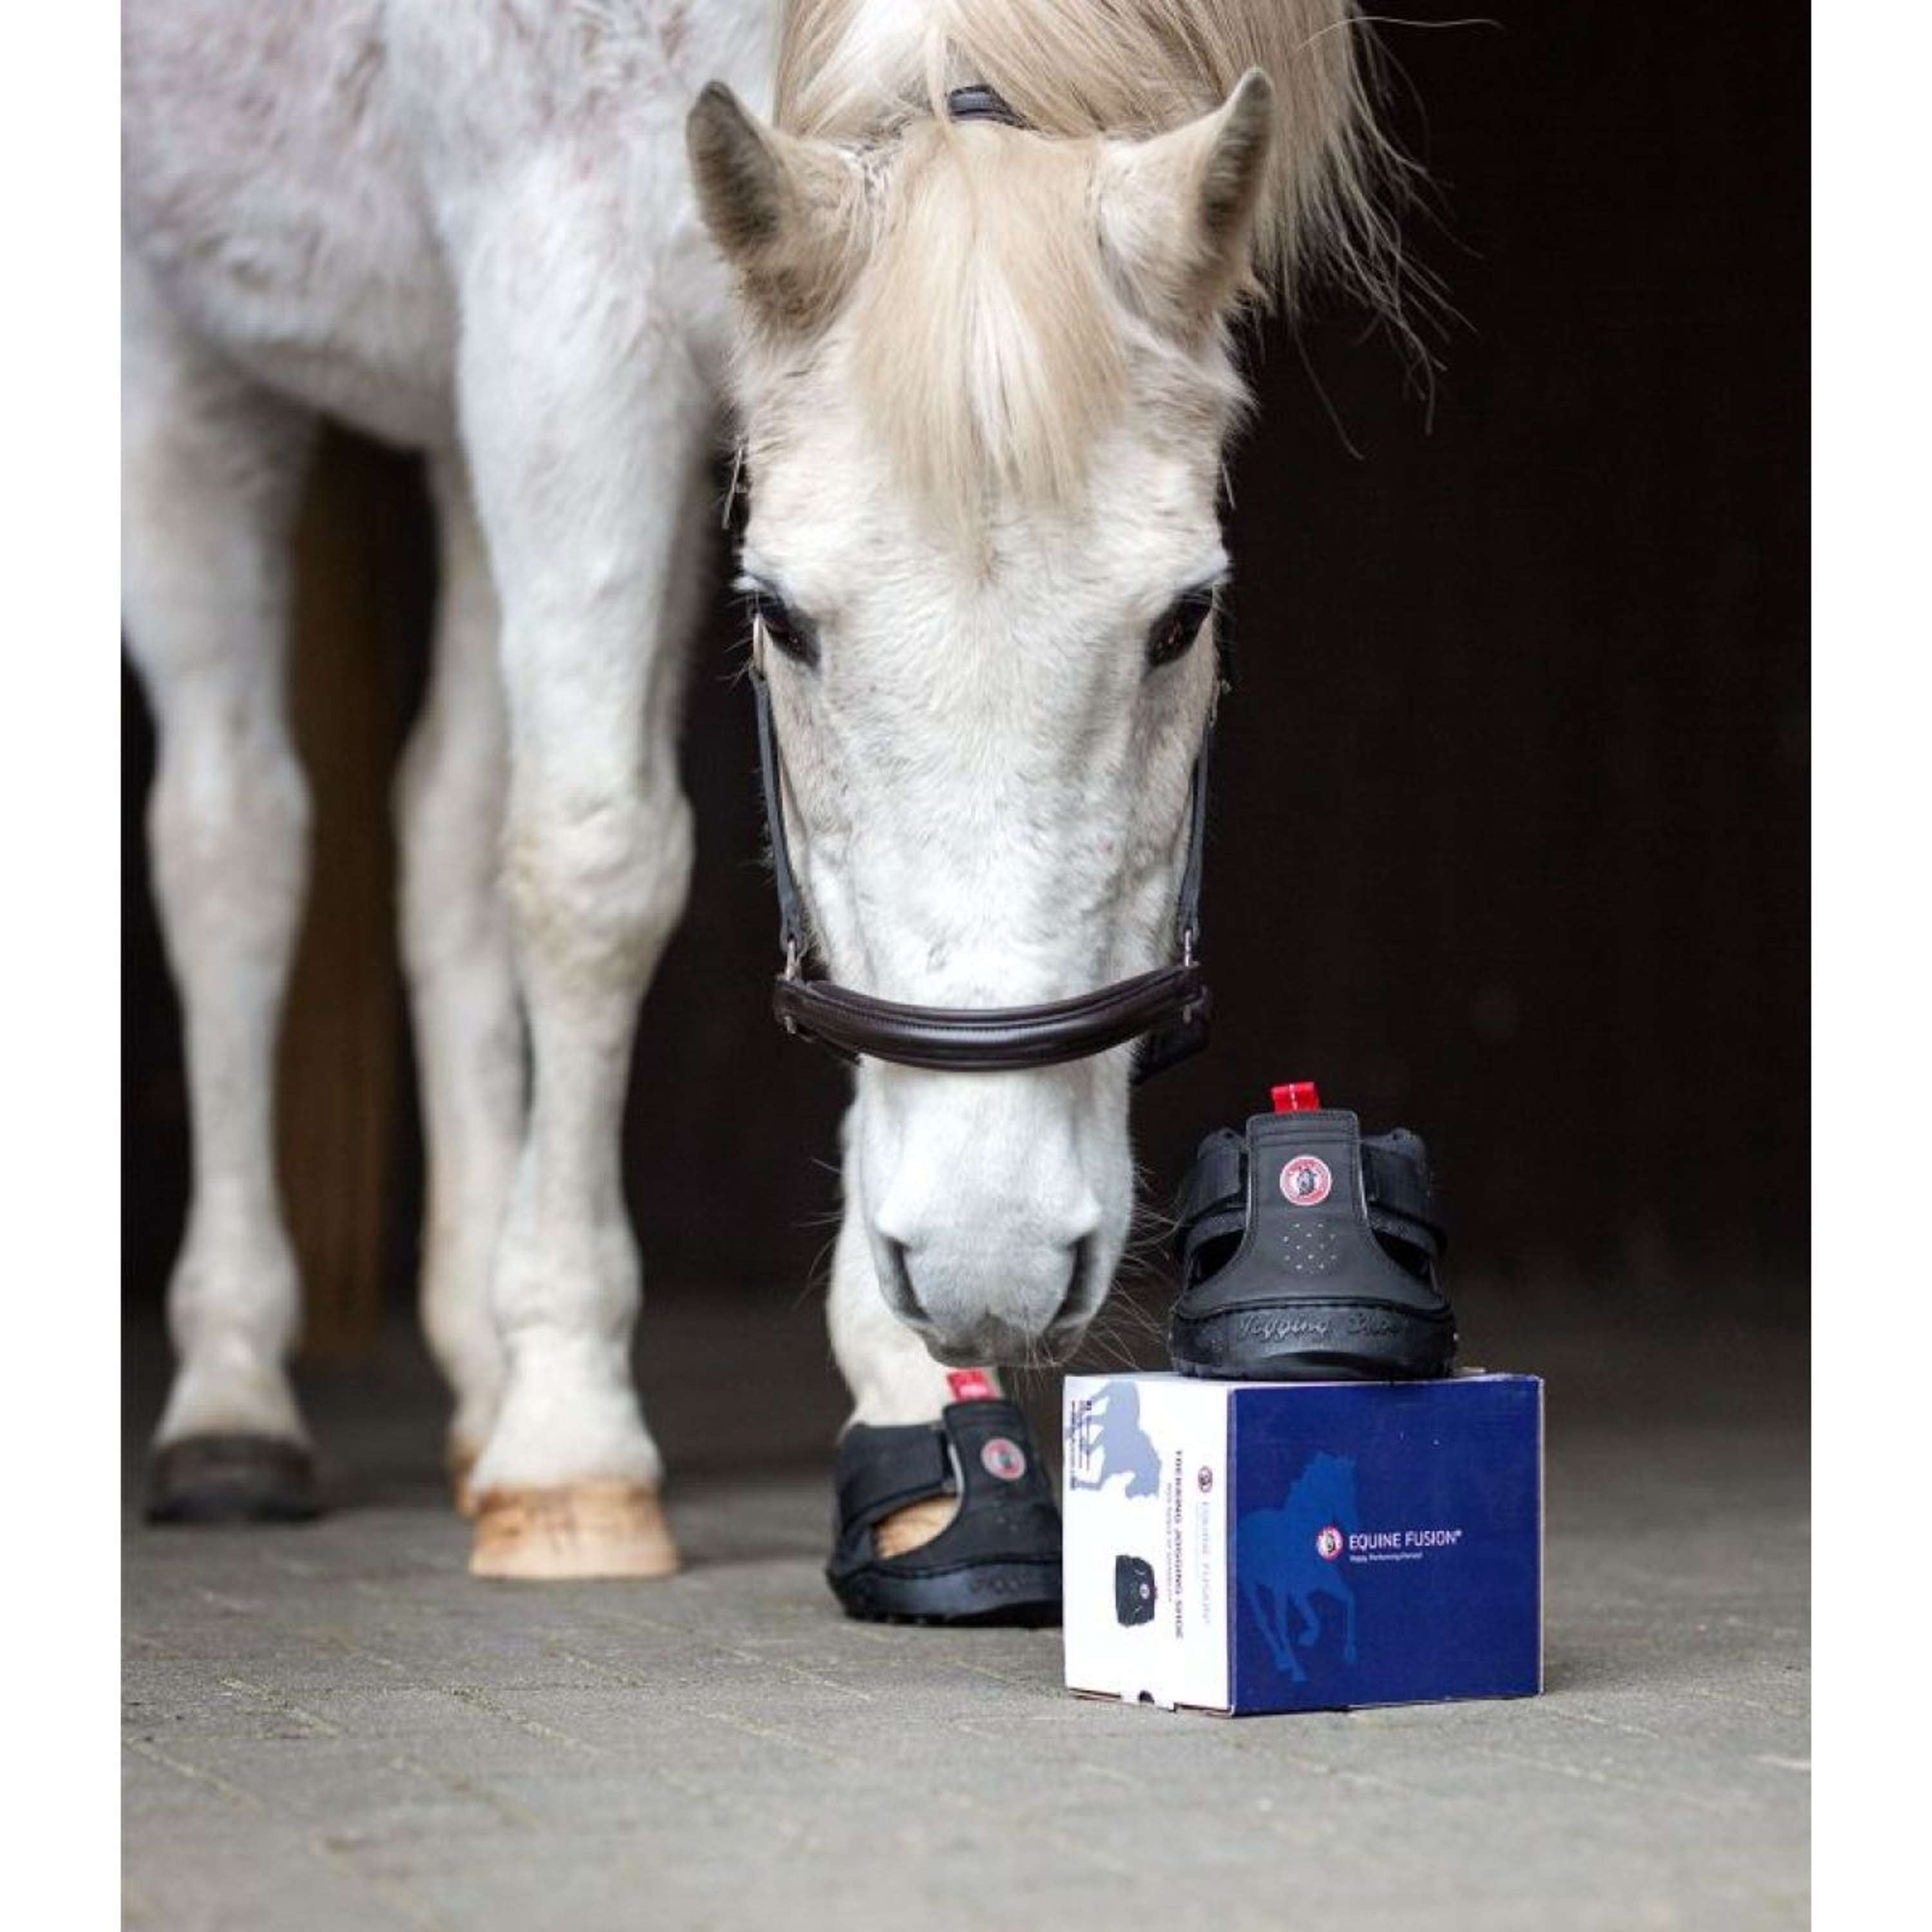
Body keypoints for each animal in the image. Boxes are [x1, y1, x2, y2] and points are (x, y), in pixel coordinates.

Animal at [122, 1, 1400, 1582]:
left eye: (1183, 618)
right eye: (779, 620)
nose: (990, 1258)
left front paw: (924, 1422)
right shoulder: (567, 319)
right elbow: (594, 865)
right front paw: (574, 1442)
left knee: (443, 835)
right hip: (188, 367)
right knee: (234, 842)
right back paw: (234, 1401)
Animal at [1235, 1450, 1361, 1680]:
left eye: (1352, 1488)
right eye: (1339, 1487)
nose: (1355, 1526)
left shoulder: (1312, 1587)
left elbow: (1349, 1600)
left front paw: (1348, 1653)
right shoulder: (1287, 1590)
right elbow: (1284, 1623)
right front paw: (1297, 1669)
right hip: (1249, 1583)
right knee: (1264, 1620)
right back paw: (1283, 1660)